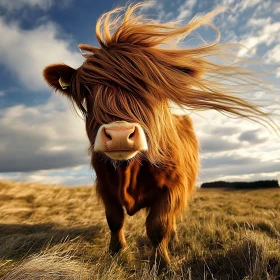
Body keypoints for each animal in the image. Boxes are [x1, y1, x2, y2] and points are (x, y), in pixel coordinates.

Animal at [42, 2, 274, 270]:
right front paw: (117, 251)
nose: (120, 134)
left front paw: (163, 262)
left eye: (150, 87)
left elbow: (158, 226)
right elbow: (115, 220)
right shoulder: (105, 185)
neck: (128, 173)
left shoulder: (173, 187)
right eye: (88, 90)